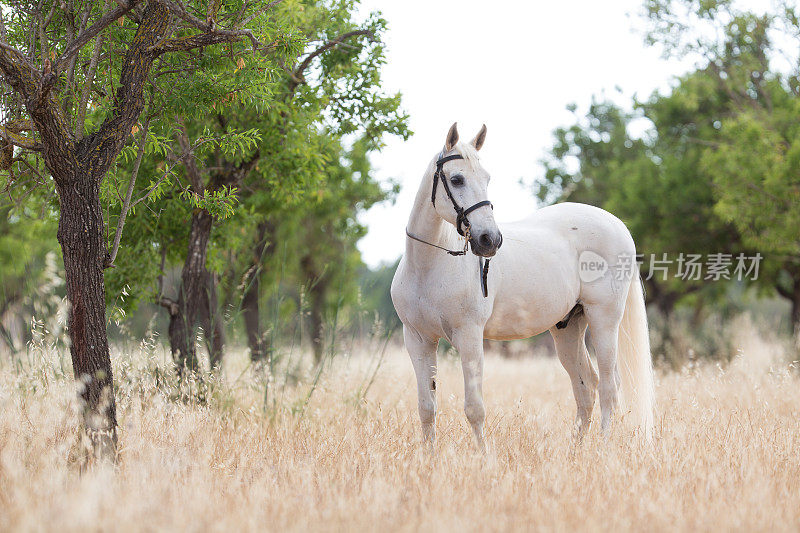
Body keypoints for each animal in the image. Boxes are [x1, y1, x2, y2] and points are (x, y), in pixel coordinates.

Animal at [390, 121, 656, 448]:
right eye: (457, 179)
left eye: (487, 178)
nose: (490, 240)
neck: (429, 266)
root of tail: (618, 226)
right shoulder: (418, 339)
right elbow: (427, 408)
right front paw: (429, 458)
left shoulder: (469, 336)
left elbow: (474, 408)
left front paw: (483, 456)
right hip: (568, 329)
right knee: (586, 387)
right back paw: (576, 451)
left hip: (604, 321)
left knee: (609, 388)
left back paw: (602, 448)